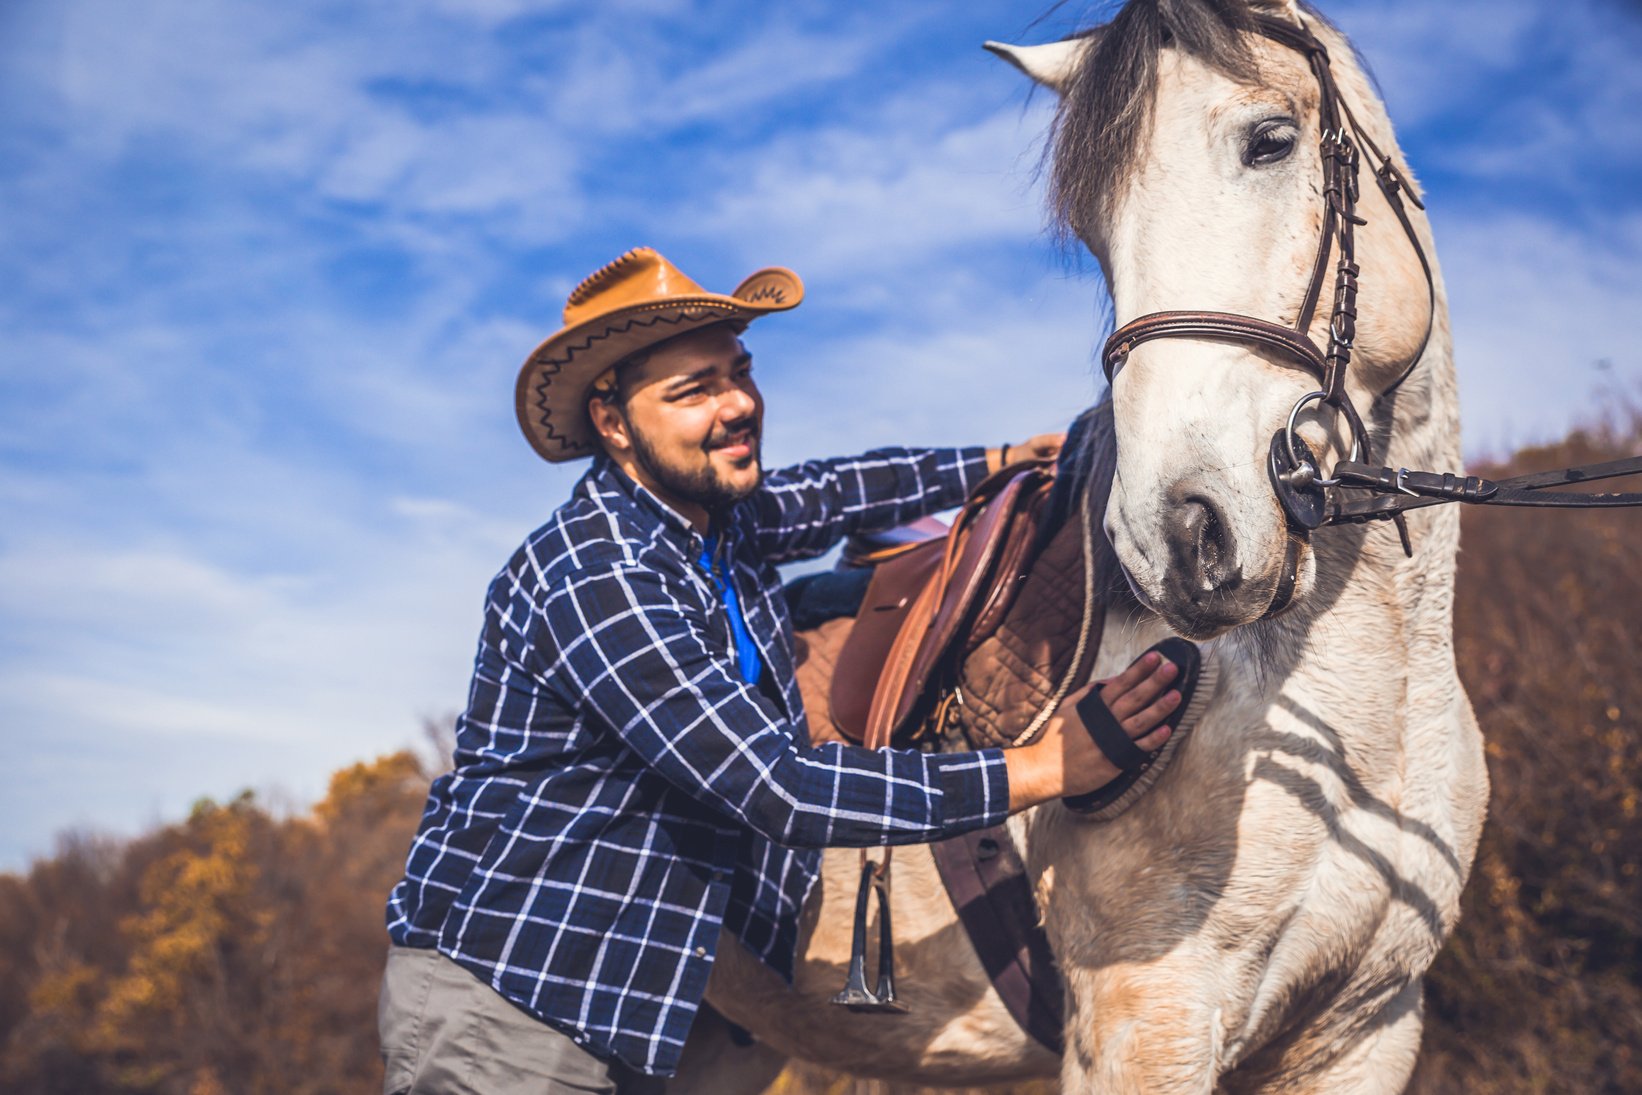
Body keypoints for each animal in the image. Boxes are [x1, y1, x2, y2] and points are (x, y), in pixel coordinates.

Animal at [679, 4, 1490, 1090]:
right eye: (1098, 228)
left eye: (1270, 141)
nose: (1177, 536)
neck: (1359, 718)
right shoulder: (1145, 1018)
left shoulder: (1366, 1028)